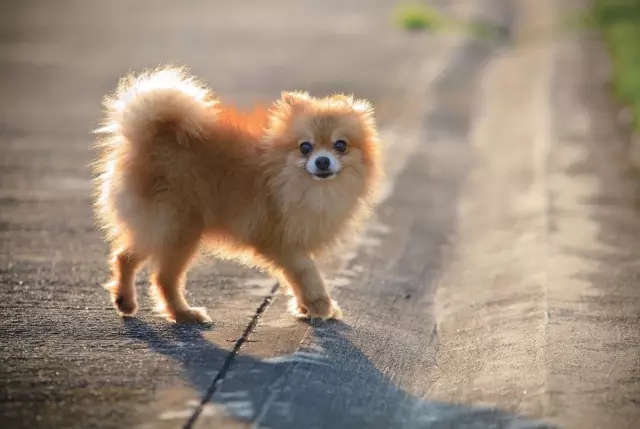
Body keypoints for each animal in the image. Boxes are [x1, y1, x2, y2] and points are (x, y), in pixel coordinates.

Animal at [90, 65, 380, 322]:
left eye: (340, 145)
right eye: (305, 147)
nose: (321, 161)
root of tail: (149, 134)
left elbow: (294, 277)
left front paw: (305, 307)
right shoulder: (279, 240)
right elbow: (306, 271)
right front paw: (320, 305)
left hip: (159, 227)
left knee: (124, 256)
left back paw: (125, 301)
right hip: (179, 228)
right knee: (163, 278)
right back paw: (184, 314)